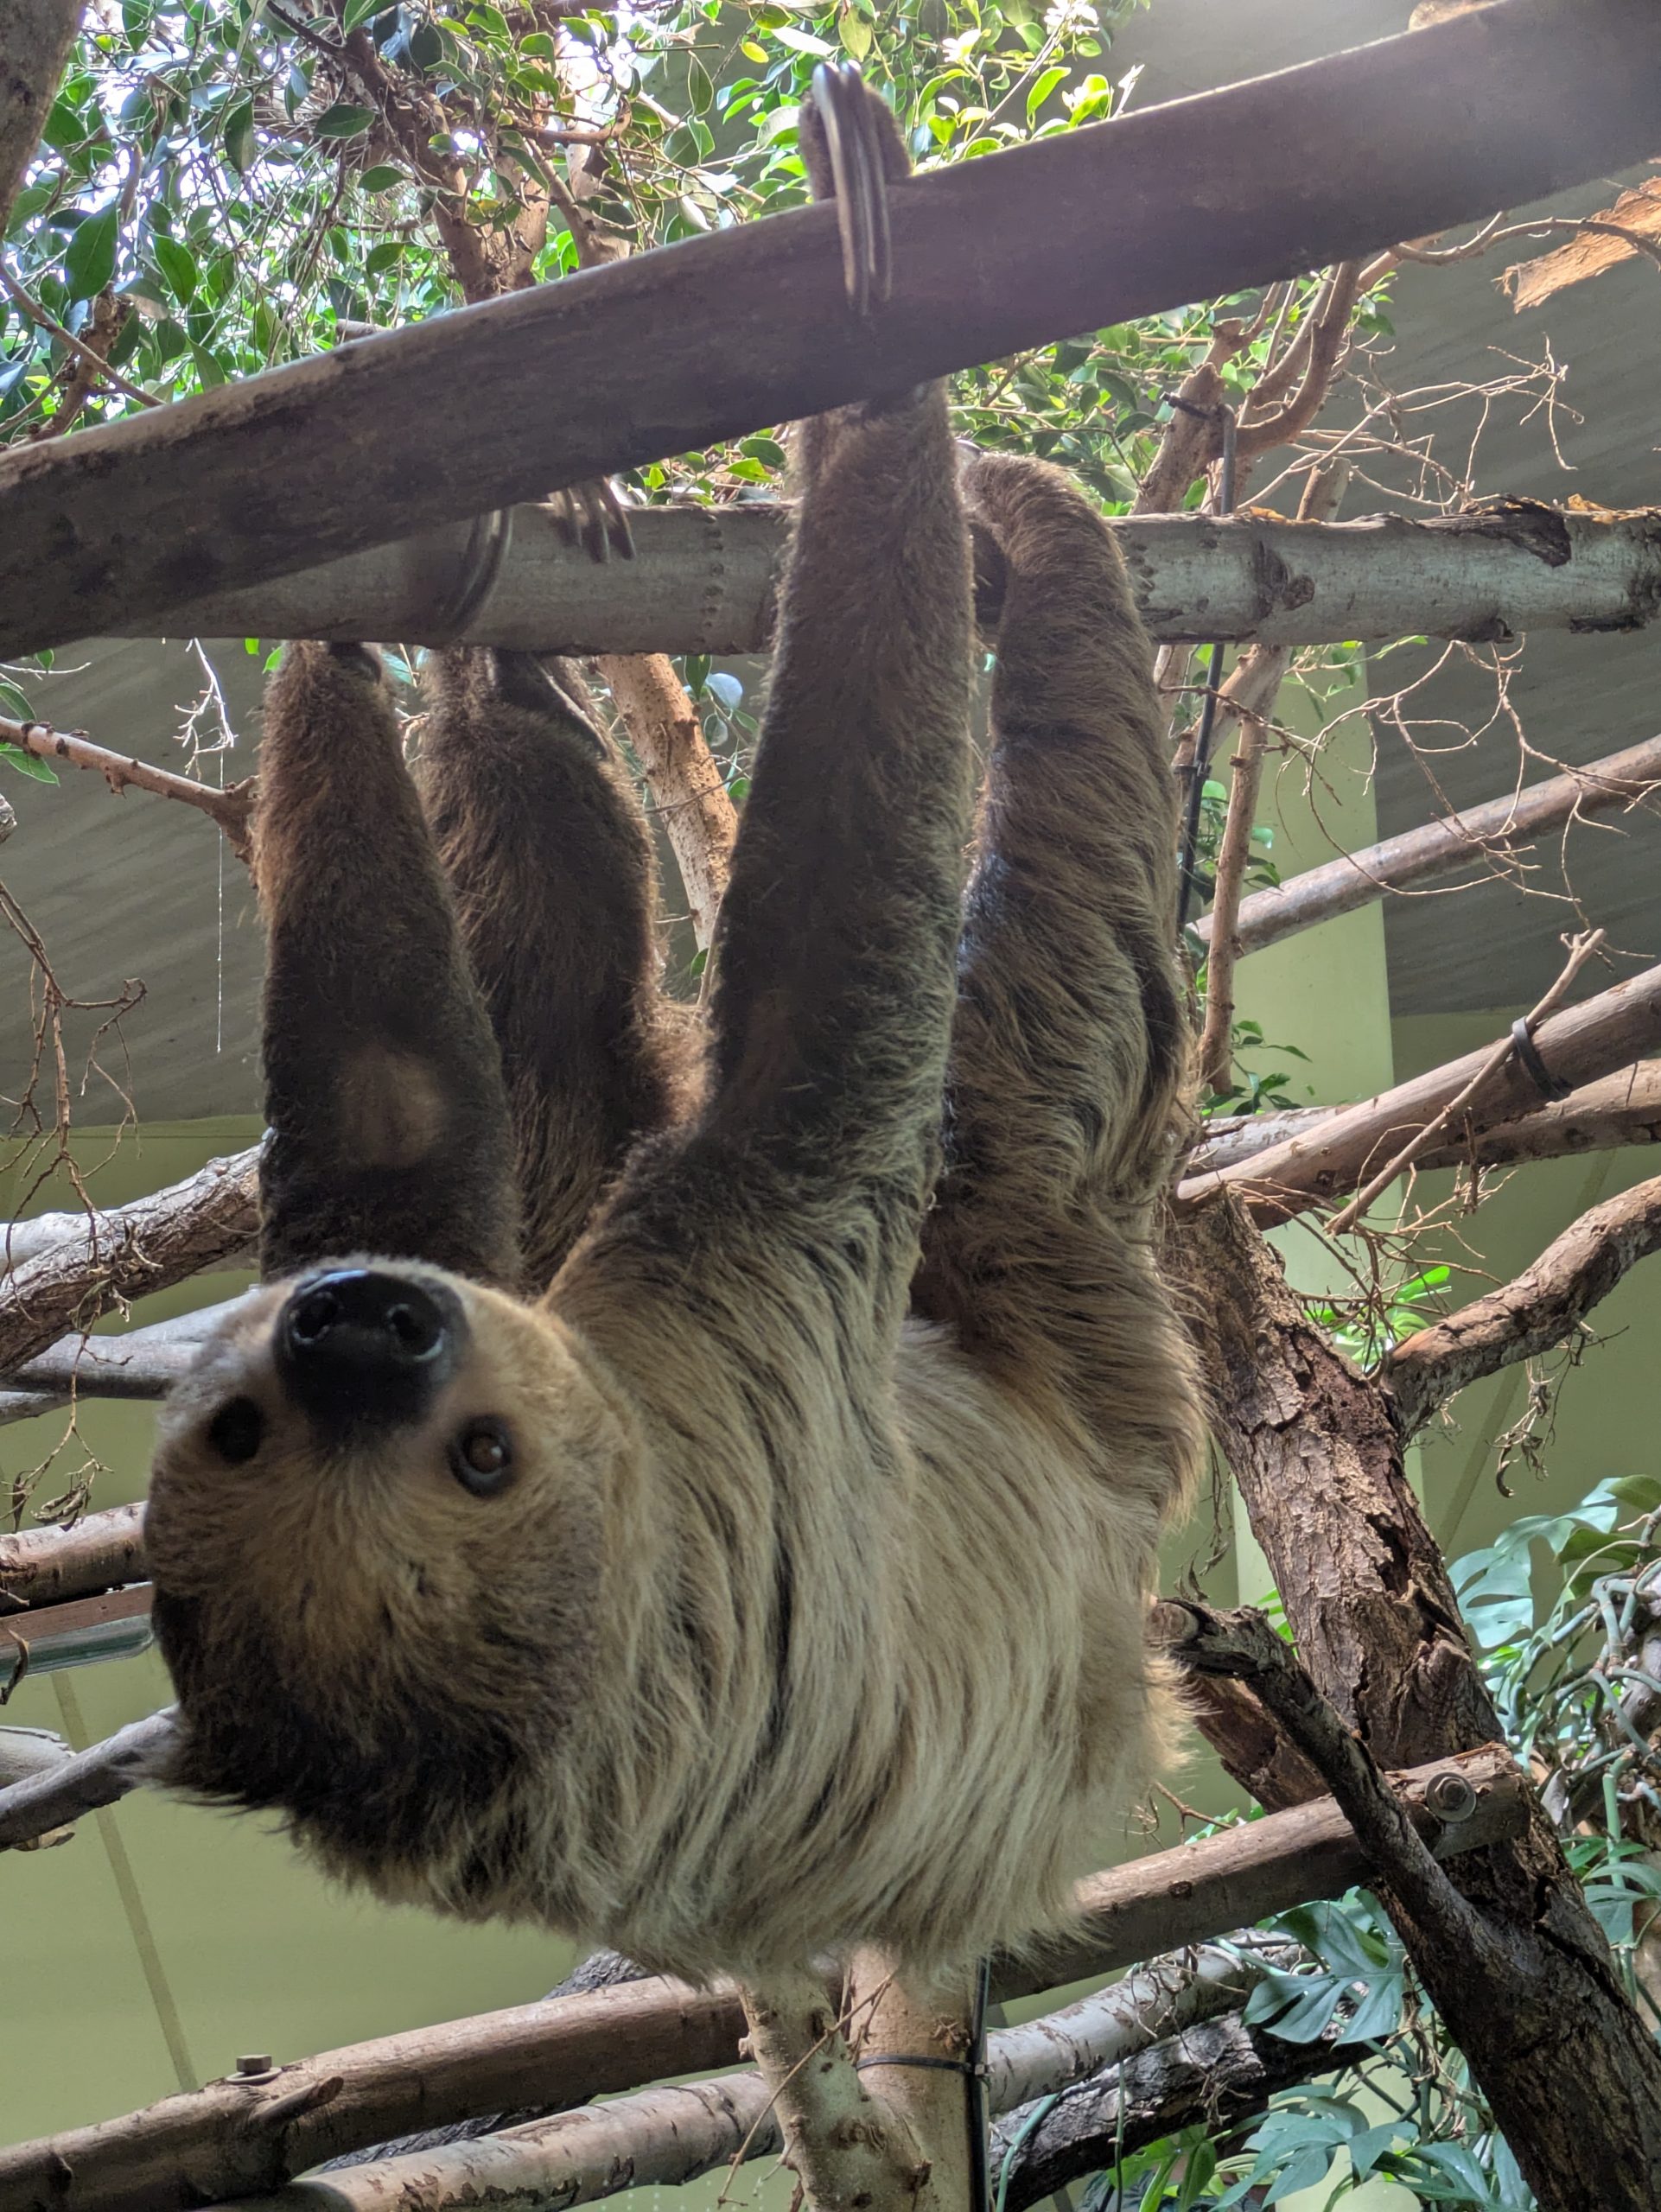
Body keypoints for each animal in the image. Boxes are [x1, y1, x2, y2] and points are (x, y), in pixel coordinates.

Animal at [143, 78, 1203, 1985]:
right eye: (478, 1461)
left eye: (232, 1423)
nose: (359, 1330)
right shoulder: (728, 1335)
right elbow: (836, 977)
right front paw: (875, 362)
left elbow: (388, 1115)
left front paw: (336, 623)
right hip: (1090, 1327)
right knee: (1051, 990)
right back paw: (1023, 520)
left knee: (550, 1050)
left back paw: (510, 651)